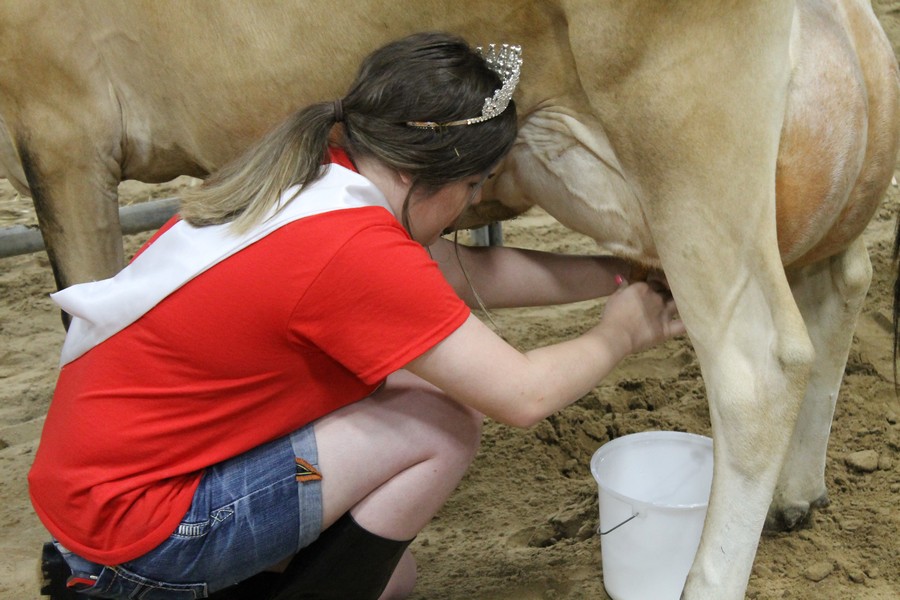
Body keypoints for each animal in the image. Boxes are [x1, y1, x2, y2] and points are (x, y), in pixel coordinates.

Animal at [3, 1, 896, 600]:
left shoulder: (61, 125)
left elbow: (80, 303)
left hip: (688, 149)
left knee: (755, 365)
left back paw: (704, 582)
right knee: (841, 288)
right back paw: (797, 496)